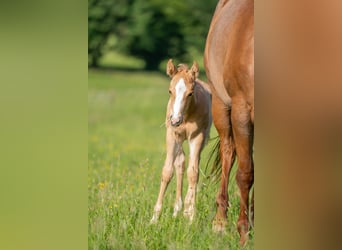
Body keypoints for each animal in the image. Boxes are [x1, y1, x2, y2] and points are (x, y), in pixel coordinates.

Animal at [152, 59, 212, 223]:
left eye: (190, 93)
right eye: (169, 91)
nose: (175, 120)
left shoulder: (197, 137)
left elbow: (193, 173)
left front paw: (190, 215)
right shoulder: (172, 135)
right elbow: (167, 171)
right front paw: (154, 218)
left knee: (189, 166)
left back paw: (184, 209)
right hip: (178, 139)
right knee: (180, 163)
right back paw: (176, 209)